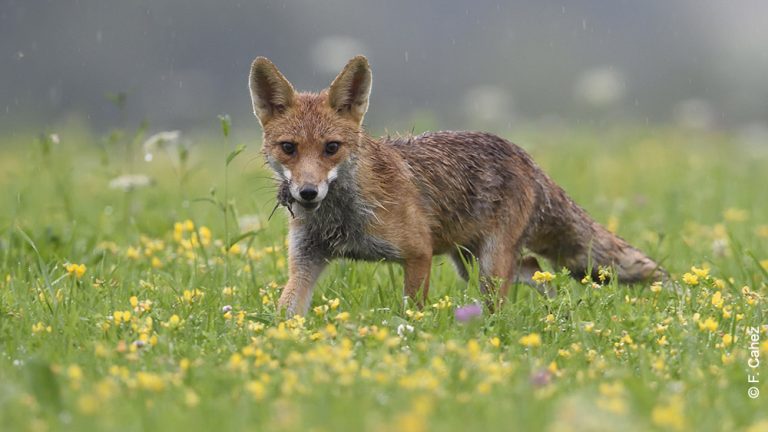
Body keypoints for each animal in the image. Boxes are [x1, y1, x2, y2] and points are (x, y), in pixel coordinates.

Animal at [248, 54, 664, 318]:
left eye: (331, 148)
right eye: (289, 148)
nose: (307, 193)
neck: (342, 220)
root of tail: (525, 157)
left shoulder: (418, 253)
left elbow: (412, 311)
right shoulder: (307, 257)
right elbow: (286, 309)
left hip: (488, 266)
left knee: (510, 293)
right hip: (470, 260)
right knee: (535, 269)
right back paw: (555, 311)